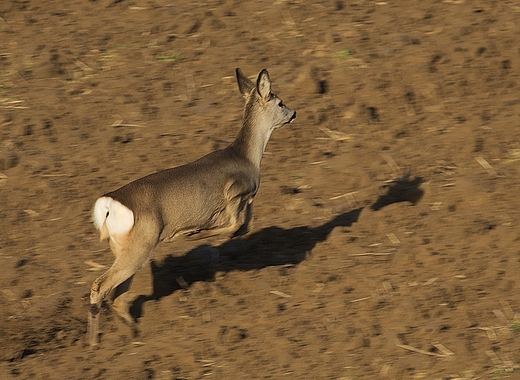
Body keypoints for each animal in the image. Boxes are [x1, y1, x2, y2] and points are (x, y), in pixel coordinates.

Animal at [89, 67, 296, 344]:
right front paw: (195, 234)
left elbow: (245, 226)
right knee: (100, 286)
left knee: (118, 295)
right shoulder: (233, 193)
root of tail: (109, 204)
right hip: (142, 244)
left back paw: (132, 331)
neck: (248, 158)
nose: (294, 112)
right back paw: (94, 342)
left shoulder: (246, 200)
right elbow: (235, 225)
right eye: (280, 102)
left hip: (124, 247)